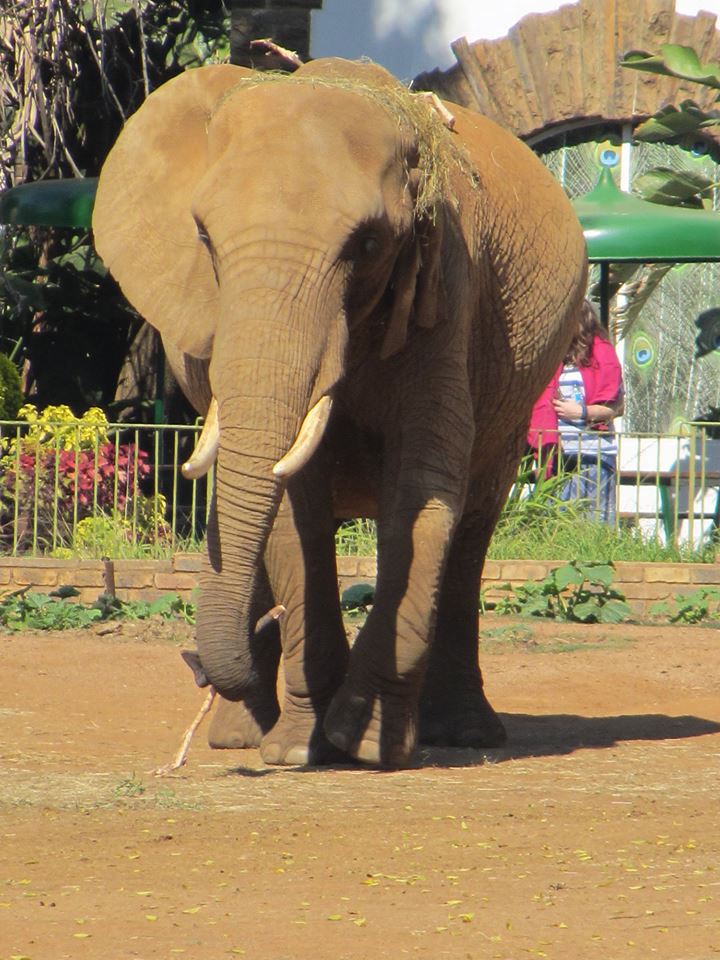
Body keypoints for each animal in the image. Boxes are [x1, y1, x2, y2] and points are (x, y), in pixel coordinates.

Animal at [92, 57, 587, 767]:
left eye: (370, 244)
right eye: (205, 237)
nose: (202, 665)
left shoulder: (447, 289)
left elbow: (422, 495)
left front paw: (365, 742)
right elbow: (291, 513)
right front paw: (296, 749)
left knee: (472, 532)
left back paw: (462, 734)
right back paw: (240, 736)